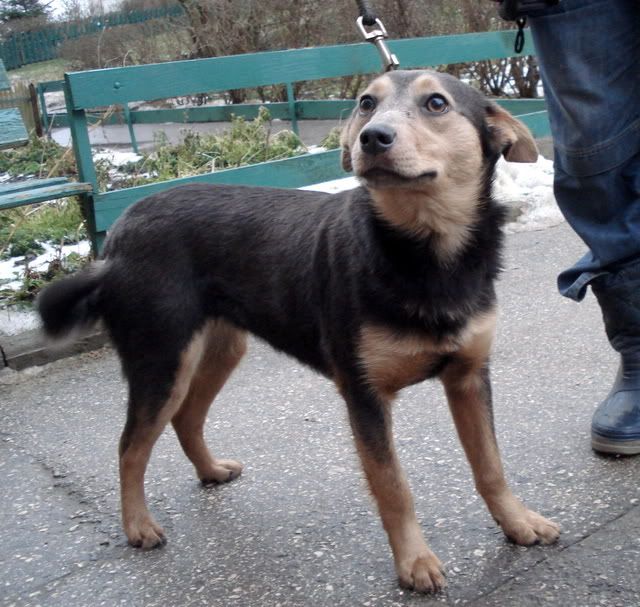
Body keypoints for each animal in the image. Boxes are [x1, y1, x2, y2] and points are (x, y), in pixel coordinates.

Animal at [37, 69, 560, 593]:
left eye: (437, 103)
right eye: (366, 103)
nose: (373, 138)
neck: (426, 251)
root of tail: (117, 238)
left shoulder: (469, 375)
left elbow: (490, 465)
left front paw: (518, 522)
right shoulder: (364, 394)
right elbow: (394, 487)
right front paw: (414, 561)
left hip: (221, 349)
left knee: (186, 418)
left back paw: (210, 471)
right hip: (162, 357)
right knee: (130, 446)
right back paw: (138, 525)